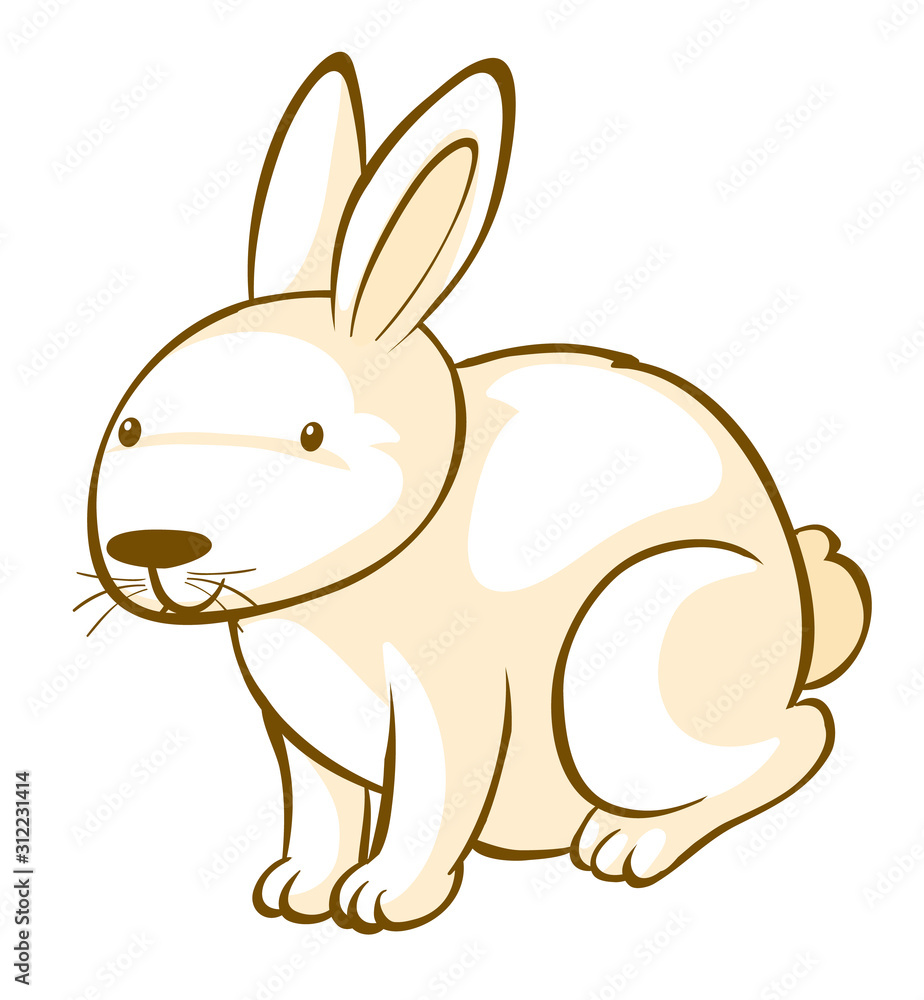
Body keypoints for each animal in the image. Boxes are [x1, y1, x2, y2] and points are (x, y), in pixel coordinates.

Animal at [84, 53, 871, 933]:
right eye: (130, 427)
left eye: (313, 436)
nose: (152, 549)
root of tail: (801, 614)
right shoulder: (301, 739)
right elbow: (324, 812)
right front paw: (296, 893)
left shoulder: (450, 704)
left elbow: (428, 807)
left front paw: (384, 901)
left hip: (635, 674)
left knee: (796, 738)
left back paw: (632, 844)